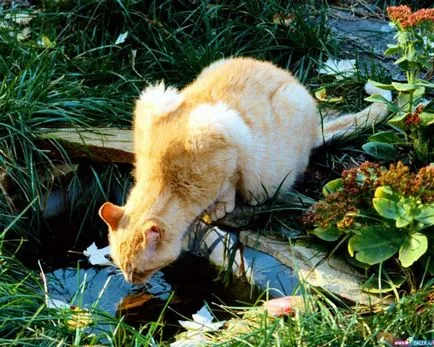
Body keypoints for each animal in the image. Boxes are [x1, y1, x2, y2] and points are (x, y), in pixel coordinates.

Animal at [98, 57, 390, 286]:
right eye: (122, 266)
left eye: (140, 270)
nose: (130, 282)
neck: (166, 179)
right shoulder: (152, 101)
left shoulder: (228, 141)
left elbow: (227, 187)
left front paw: (217, 209)